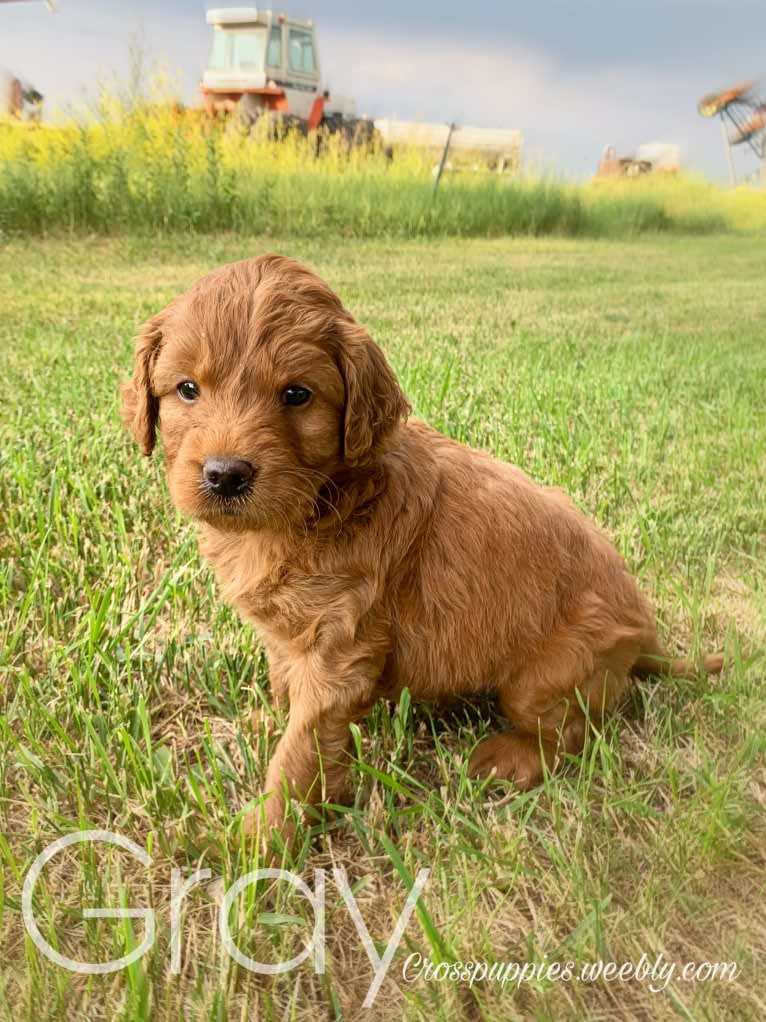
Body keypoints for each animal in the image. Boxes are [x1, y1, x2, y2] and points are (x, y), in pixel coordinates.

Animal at [121, 253, 727, 846]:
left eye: (296, 394)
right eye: (187, 389)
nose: (226, 475)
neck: (320, 501)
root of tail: (646, 632)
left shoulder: (341, 648)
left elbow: (300, 752)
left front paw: (261, 841)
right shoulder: (289, 635)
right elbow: (285, 690)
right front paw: (260, 727)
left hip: (543, 678)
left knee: (579, 730)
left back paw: (508, 759)